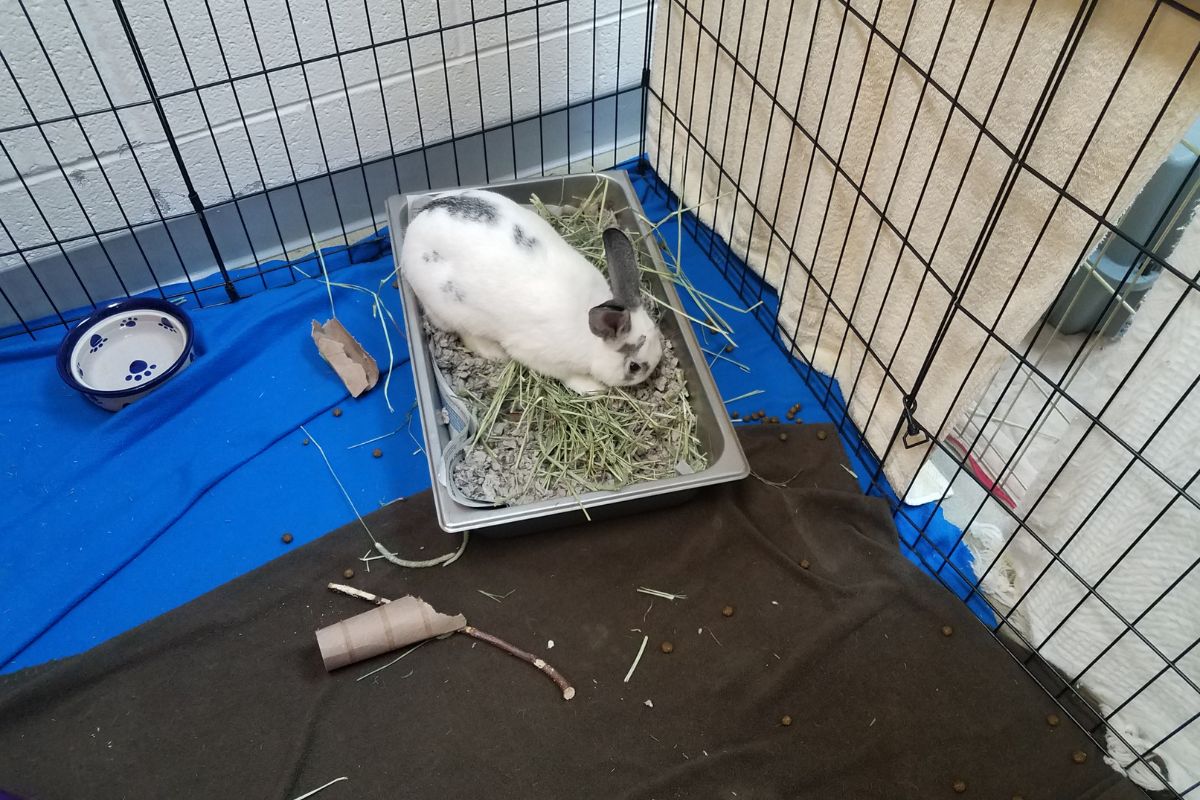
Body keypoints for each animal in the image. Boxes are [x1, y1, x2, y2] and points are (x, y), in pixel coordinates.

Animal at [401, 189, 663, 394]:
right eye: (634, 366)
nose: (652, 373)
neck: (591, 338)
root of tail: (414, 226)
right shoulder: (543, 359)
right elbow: (570, 377)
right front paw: (593, 388)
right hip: (451, 310)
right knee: (467, 334)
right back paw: (495, 353)